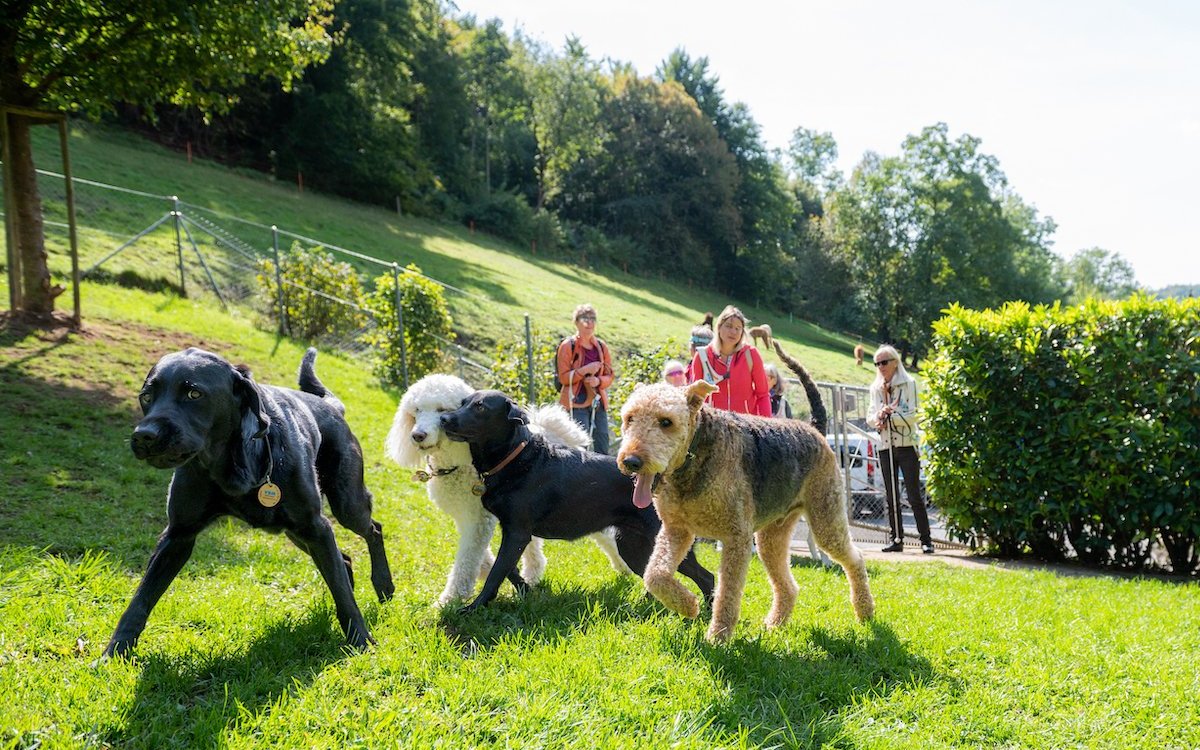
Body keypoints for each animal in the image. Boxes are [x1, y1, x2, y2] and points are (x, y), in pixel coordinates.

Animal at [103, 345, 393, 652]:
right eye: (146, 397)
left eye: (194, 394)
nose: (144, 435)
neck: (230, 465)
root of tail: (331, 406)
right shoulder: (178, 535)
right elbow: (140, 599)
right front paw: (115, 652)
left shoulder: (316, 526)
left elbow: (344, 596)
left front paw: (361, 642)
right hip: (296, 533)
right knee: (344, 560)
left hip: (345, 506)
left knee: (373, 530)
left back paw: (384, 586)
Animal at [446, 388, 715, 612]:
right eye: (462, 403)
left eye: (480, 407)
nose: (445, 419)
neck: (516, 457)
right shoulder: (511, 532)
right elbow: (506, 568)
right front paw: (526, 591)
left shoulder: (517, 533)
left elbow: (495, 573)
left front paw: (473, 608)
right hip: (631, 546)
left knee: (707, 577)